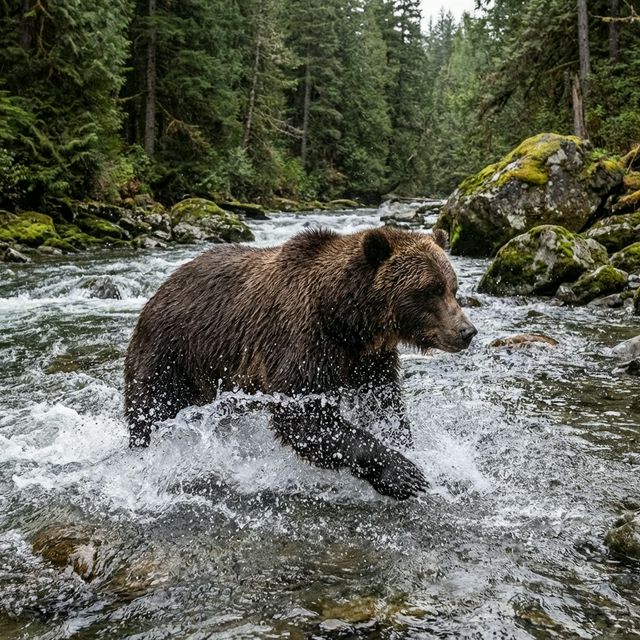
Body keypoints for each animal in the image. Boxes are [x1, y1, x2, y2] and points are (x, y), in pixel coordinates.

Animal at [124, 226, 477, 500]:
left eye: (453, 287)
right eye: (428, 290)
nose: (467, 331)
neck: (347, 319)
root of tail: (158, 291)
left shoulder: (368, 359)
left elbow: (382, 403)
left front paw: (410, 448)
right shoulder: (302, 339)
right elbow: (304, 415)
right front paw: (404, 472)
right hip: (171, 352)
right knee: (151, 407)